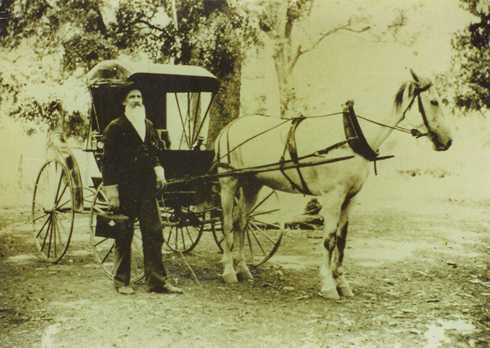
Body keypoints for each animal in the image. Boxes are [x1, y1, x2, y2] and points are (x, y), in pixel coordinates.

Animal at [214, 70, 452, 300]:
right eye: (434, 102)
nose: (448, 141)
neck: (350, 136)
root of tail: (229, 127)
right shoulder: (332, 197)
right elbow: (328, 240)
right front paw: (328, 285)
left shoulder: (350, 198)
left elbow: (341, 240)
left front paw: (342, 283)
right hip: (229, 183)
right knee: (227, 224)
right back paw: (229, 271)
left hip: (252, 184)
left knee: (241, 222)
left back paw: (243, 269)